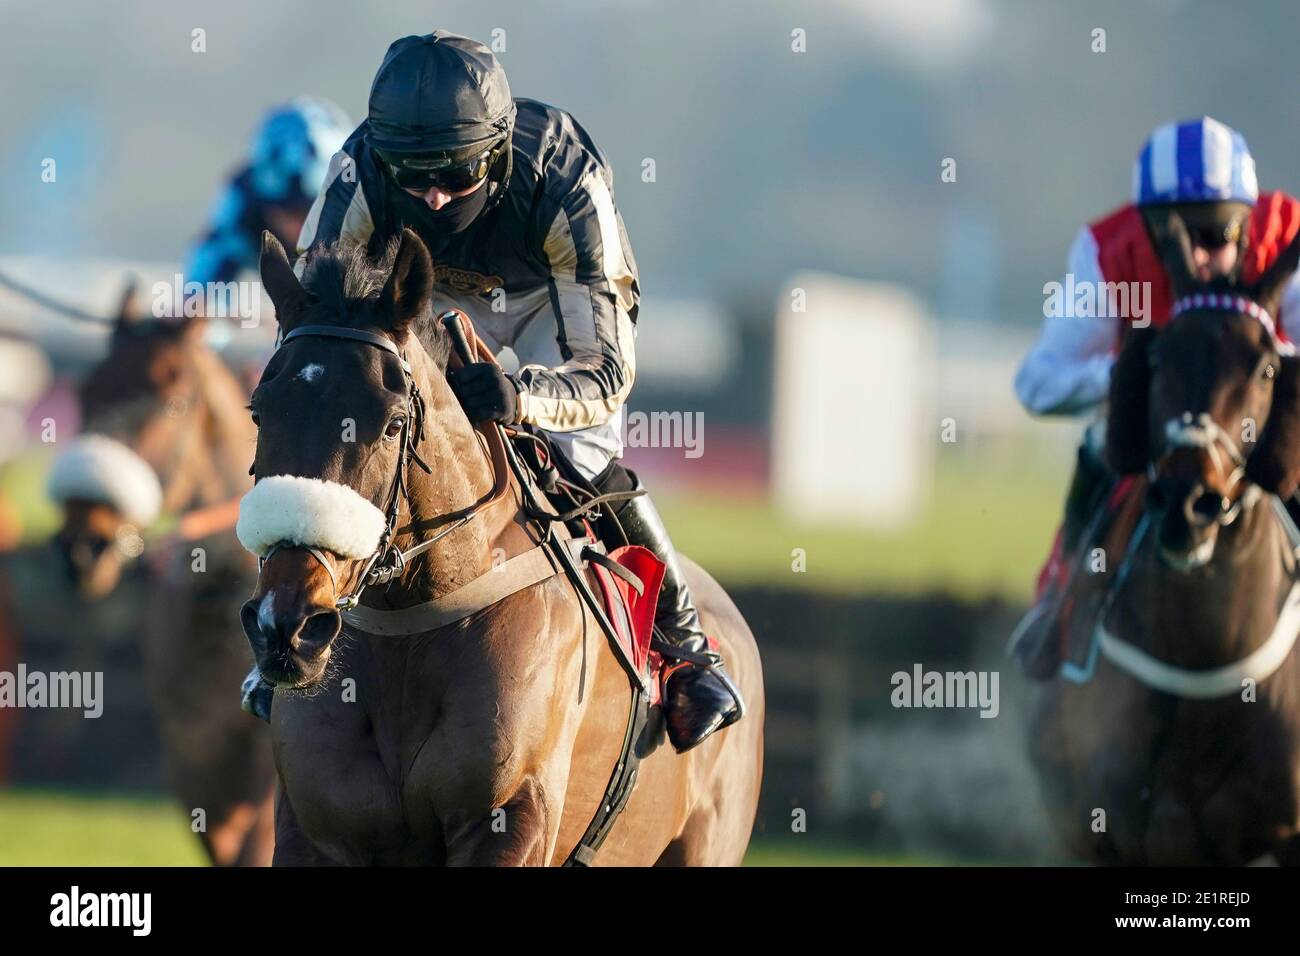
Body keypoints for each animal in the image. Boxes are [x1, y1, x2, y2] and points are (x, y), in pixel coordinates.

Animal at [239, 231, 759, 868]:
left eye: (391, 424)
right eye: (259, 411)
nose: (285, 623)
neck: (410, 622)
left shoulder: (513, 820)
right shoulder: (316, 833)